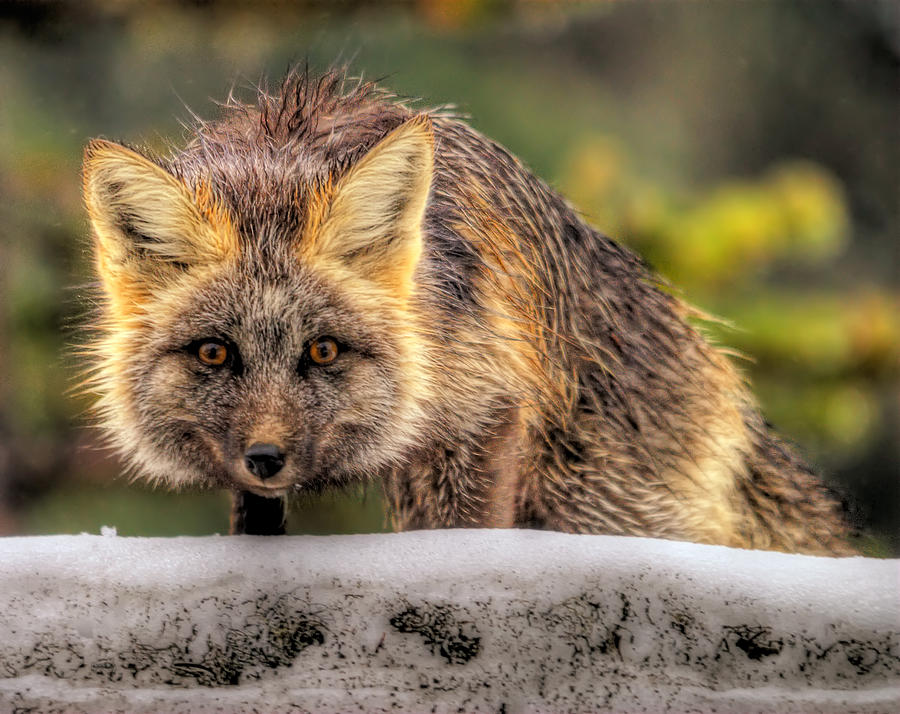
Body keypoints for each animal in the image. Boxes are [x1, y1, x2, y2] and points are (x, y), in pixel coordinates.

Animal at [81, 67, 856, 552]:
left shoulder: (487, 404)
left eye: (323, 350)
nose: (267, 457)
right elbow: (253, 522)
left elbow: (470, 535)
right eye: (215, 353)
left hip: (590, 503)